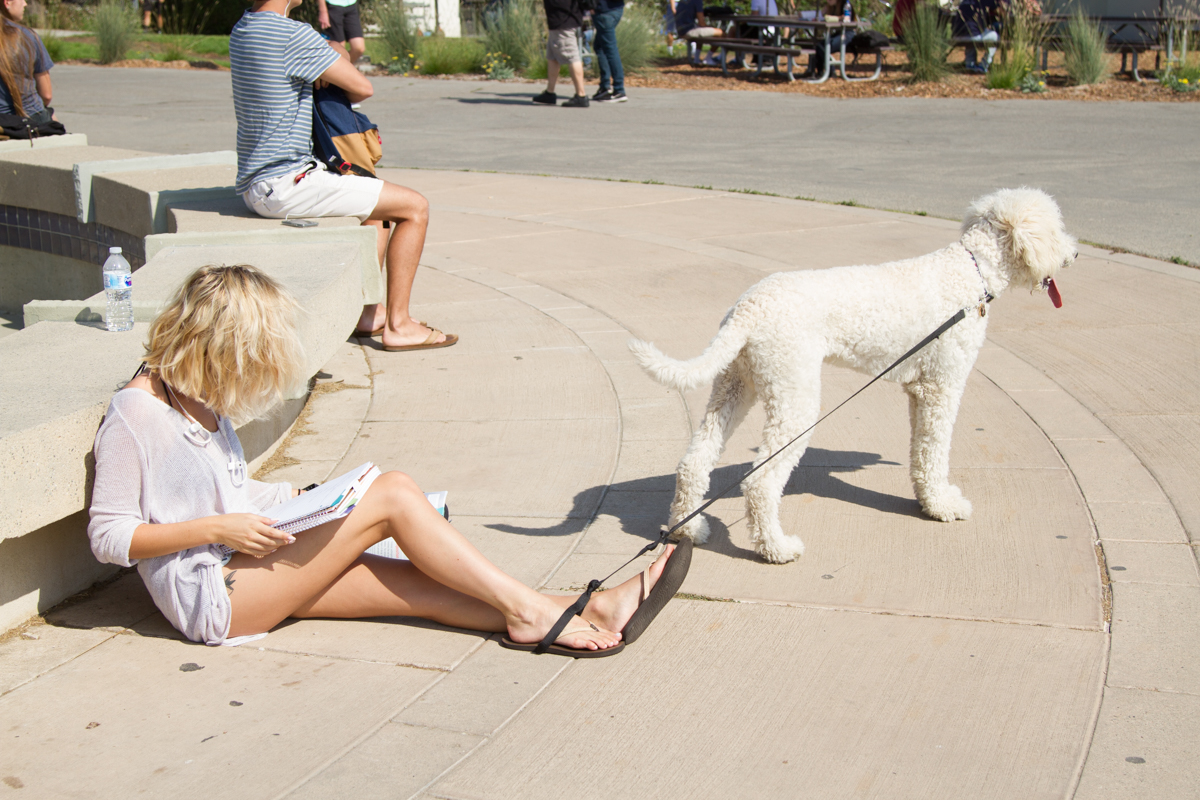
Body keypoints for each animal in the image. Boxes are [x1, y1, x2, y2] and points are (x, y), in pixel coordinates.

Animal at [628, 188, 1080, 563]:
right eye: (1058, 228)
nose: (1076, 254)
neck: (971, 269)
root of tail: (748, 307)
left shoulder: (919, 390)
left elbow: (920, 453)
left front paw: (929, 500)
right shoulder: (942, 386)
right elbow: (935, 452)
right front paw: (943, 507)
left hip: (737, 383)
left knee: (695, 460)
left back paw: (690, 529)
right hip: (794, 396)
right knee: (760, 481)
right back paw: (776, 548)